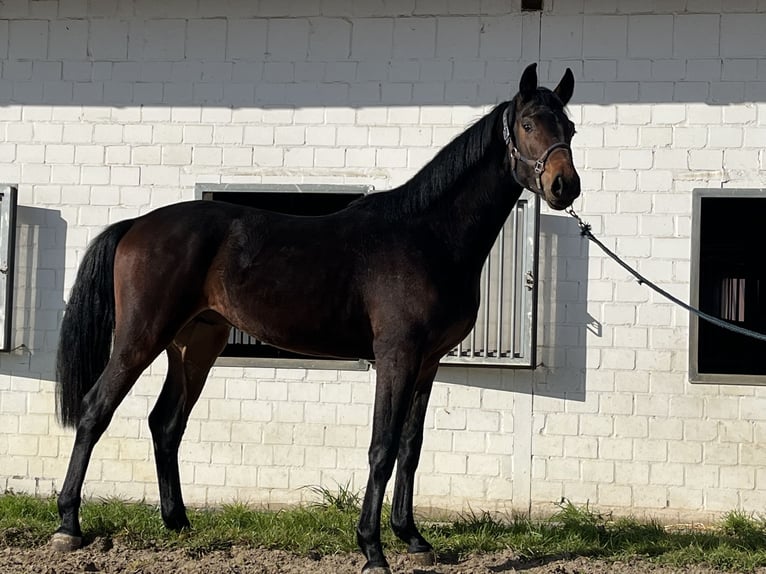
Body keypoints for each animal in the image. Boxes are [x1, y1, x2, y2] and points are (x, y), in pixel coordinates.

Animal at [52, 64, 584, 574]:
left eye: (571, 128)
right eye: (528, 123)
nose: (565, 185)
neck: (426, 234)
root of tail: (136, 226)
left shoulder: (428, 362)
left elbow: (410, 447)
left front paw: (413, 538)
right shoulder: (396, 356)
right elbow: (382, 447)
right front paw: (372, 549)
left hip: (195, 345)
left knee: (166, 423)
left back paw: (178, 522)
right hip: (140, 339)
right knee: (95, 410)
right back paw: (68, 525)